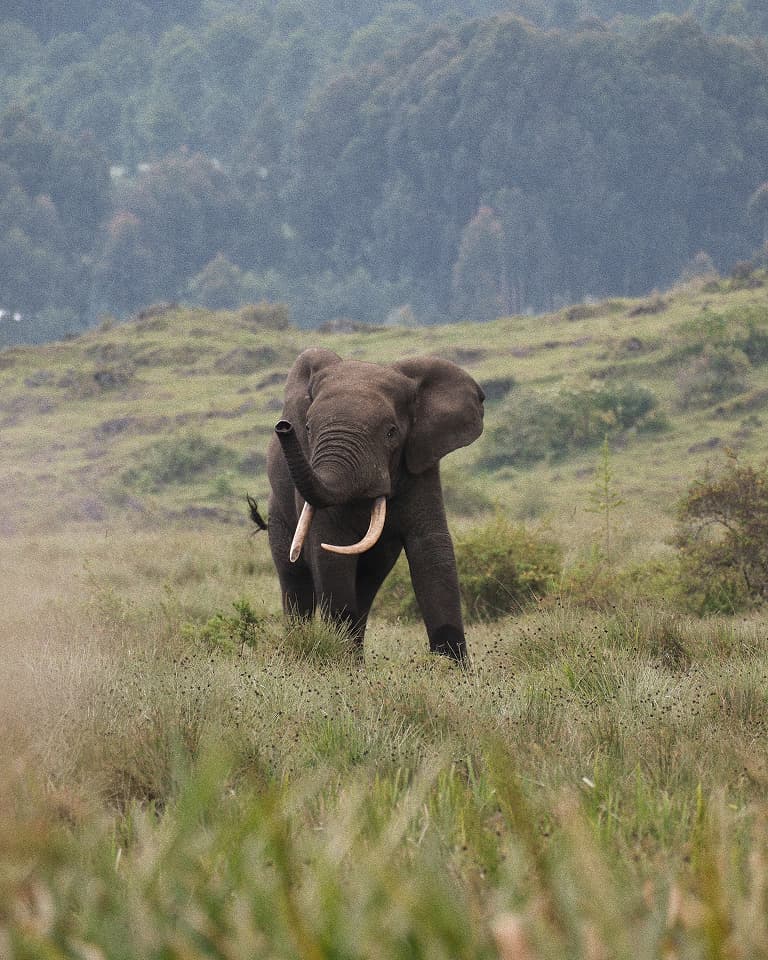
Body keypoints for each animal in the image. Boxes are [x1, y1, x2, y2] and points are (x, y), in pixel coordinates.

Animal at [265, 347, 484, 662]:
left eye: (391, 432)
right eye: (307, 427)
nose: (283, 427)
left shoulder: (421, 462)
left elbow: (432, 550)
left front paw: (453, 668)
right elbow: (329, 551)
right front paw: (339, 663)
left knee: (367, 583)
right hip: (278, 513)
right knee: (295, 579)